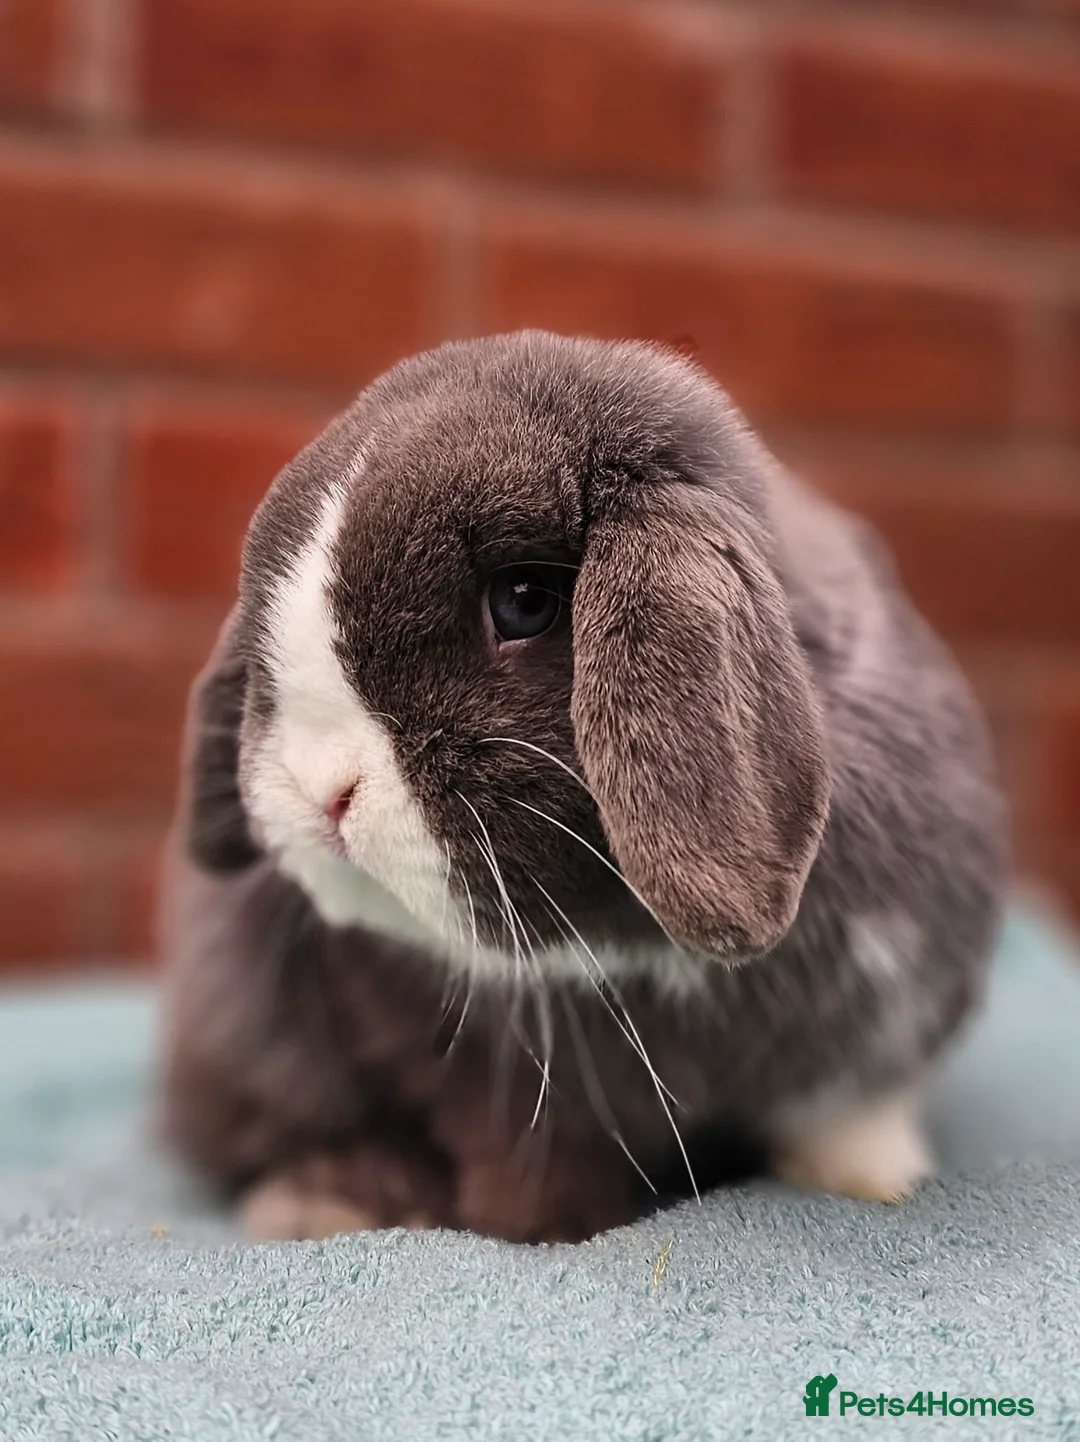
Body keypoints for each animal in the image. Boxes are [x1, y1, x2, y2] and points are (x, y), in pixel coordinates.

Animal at [160, 330, 1008, 1245]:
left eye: (525, 600)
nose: (323, 789)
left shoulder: (888, 1012)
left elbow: (857, 1111)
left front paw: (875, 1182)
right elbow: (525, 1152)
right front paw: (542, 1230)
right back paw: (324, 1202)